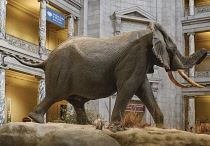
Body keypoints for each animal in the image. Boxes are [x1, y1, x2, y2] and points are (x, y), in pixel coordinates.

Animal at [12, 22, 207, 132]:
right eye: (172, 49)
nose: (207, 51)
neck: (149, 32)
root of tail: (45, 61)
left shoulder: (141, 60)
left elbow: (144, 89)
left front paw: (162, 128)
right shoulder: (135, 56)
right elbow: (128, 87)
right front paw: (118, 130)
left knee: (75, 100)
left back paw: (86, 125)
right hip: (60, 70)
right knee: (55, 95)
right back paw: (37, 120)